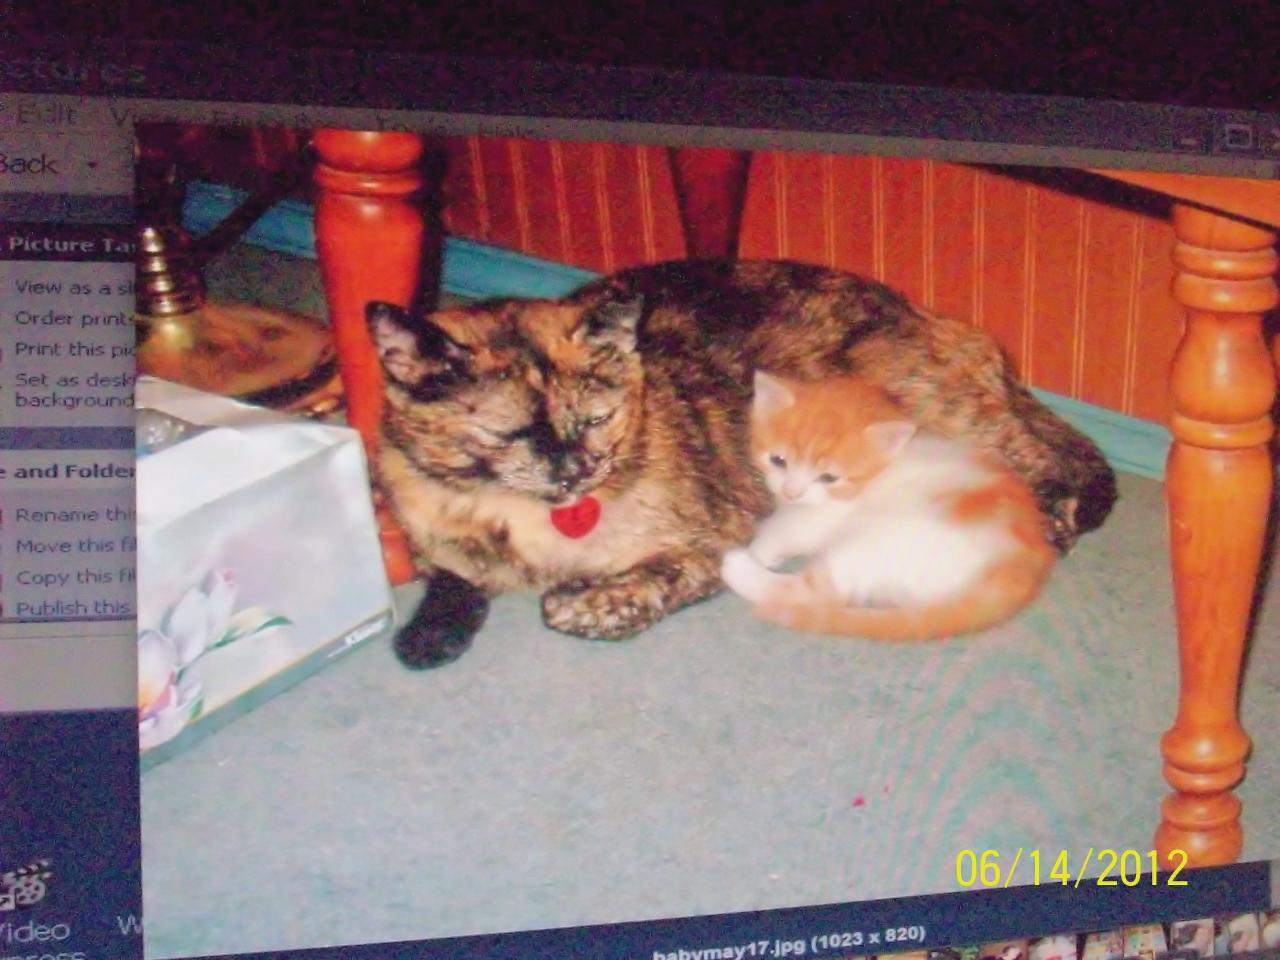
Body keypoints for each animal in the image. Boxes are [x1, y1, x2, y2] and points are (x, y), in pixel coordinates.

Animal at [719, 371, 1056, 640]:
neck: (881, 468)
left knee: (822, 593)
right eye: (778, 460)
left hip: (875, 539)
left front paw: (757, 550)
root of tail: (1022, 567)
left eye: (828, 478)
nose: (791, 492)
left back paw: (737, 567)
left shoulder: (820, 517)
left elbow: (784, 531)